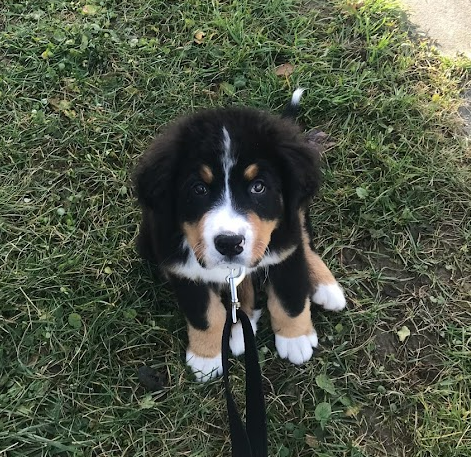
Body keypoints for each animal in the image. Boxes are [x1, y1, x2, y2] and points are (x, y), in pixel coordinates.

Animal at [133, 90, 346, 382]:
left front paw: (295, 338)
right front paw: (207, 356)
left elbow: (289, 294)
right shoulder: (182, 268)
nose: (229, 244)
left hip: (290, 222)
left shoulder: (285, 249)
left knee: (303, 240)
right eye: (198, 189)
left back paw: (326, 286)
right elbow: (204, 313)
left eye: (258, 187)